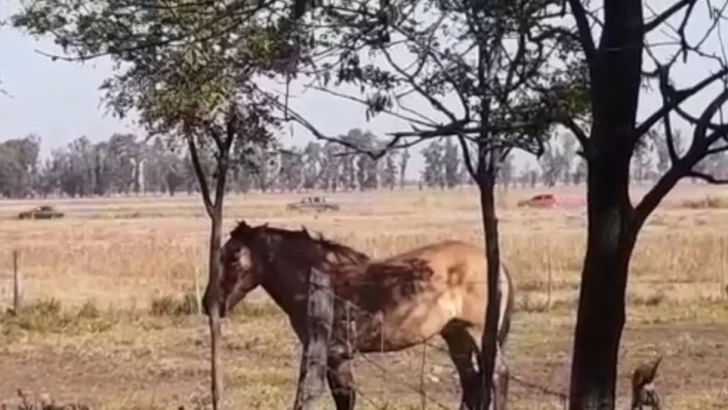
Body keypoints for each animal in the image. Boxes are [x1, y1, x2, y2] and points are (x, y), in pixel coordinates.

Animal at [202, 221, 516, 410]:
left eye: (234, 257)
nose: (209, 304)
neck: (321, 279)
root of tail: (493, 262)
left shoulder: (333, 354)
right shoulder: (334, 357)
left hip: (478, 332)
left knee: (497, 375)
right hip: (455, 334)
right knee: (472, 382)